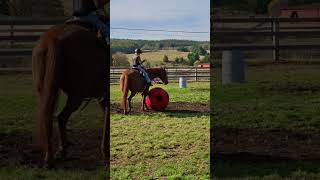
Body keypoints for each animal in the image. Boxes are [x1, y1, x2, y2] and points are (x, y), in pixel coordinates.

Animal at [32, 23, 110, 168]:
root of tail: (53, 38)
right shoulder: (104, 96)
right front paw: (106, 152)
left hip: (45, 91)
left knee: (50, 117)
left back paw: (52, 157)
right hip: (76, 95)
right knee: (61, 117)